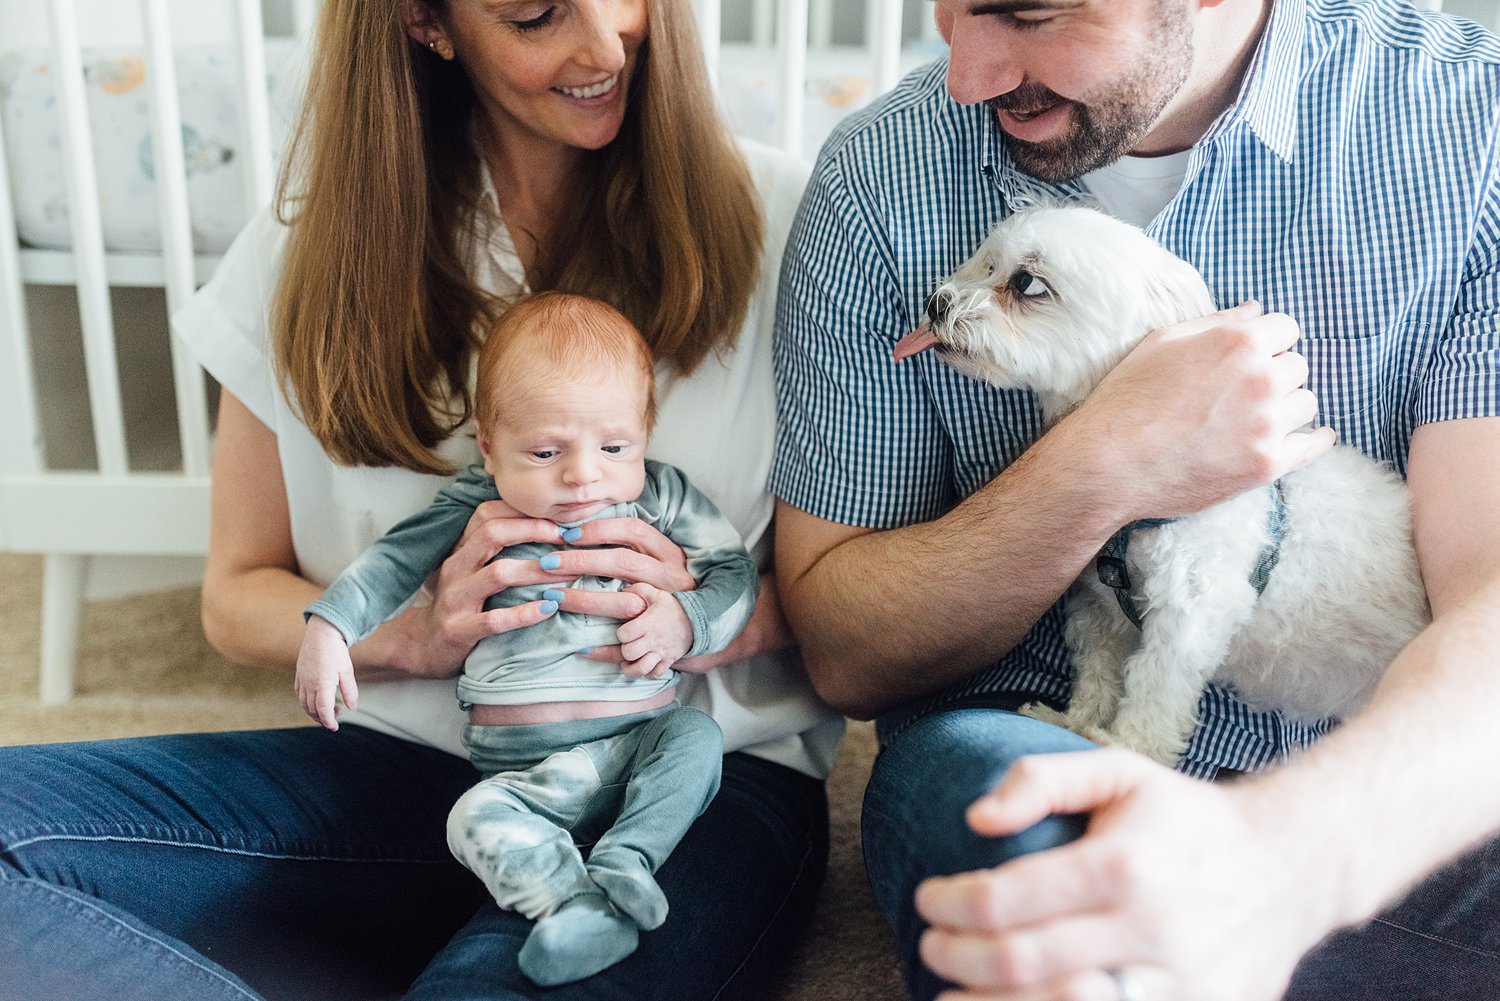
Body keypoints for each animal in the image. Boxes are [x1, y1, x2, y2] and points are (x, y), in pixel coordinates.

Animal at [888, 205, 1428, 768]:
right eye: (989, 263)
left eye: (1027, 283)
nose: (935, 302)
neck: (1137, 512)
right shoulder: (1100, 608)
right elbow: (1099, 670)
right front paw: (1075, 724)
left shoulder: (1190, 607)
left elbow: (1153, 684)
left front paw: (1125, 747)